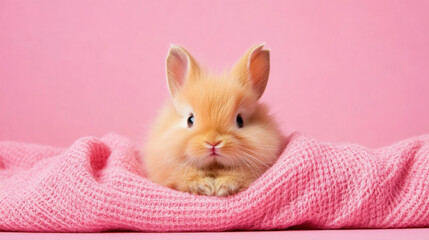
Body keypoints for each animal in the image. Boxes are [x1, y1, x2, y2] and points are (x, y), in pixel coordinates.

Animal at [144, 43, 284, 197]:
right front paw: (205, 187)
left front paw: (222, 187)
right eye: (190, 120)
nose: (213, 142)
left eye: (240, 120)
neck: (213, 166)